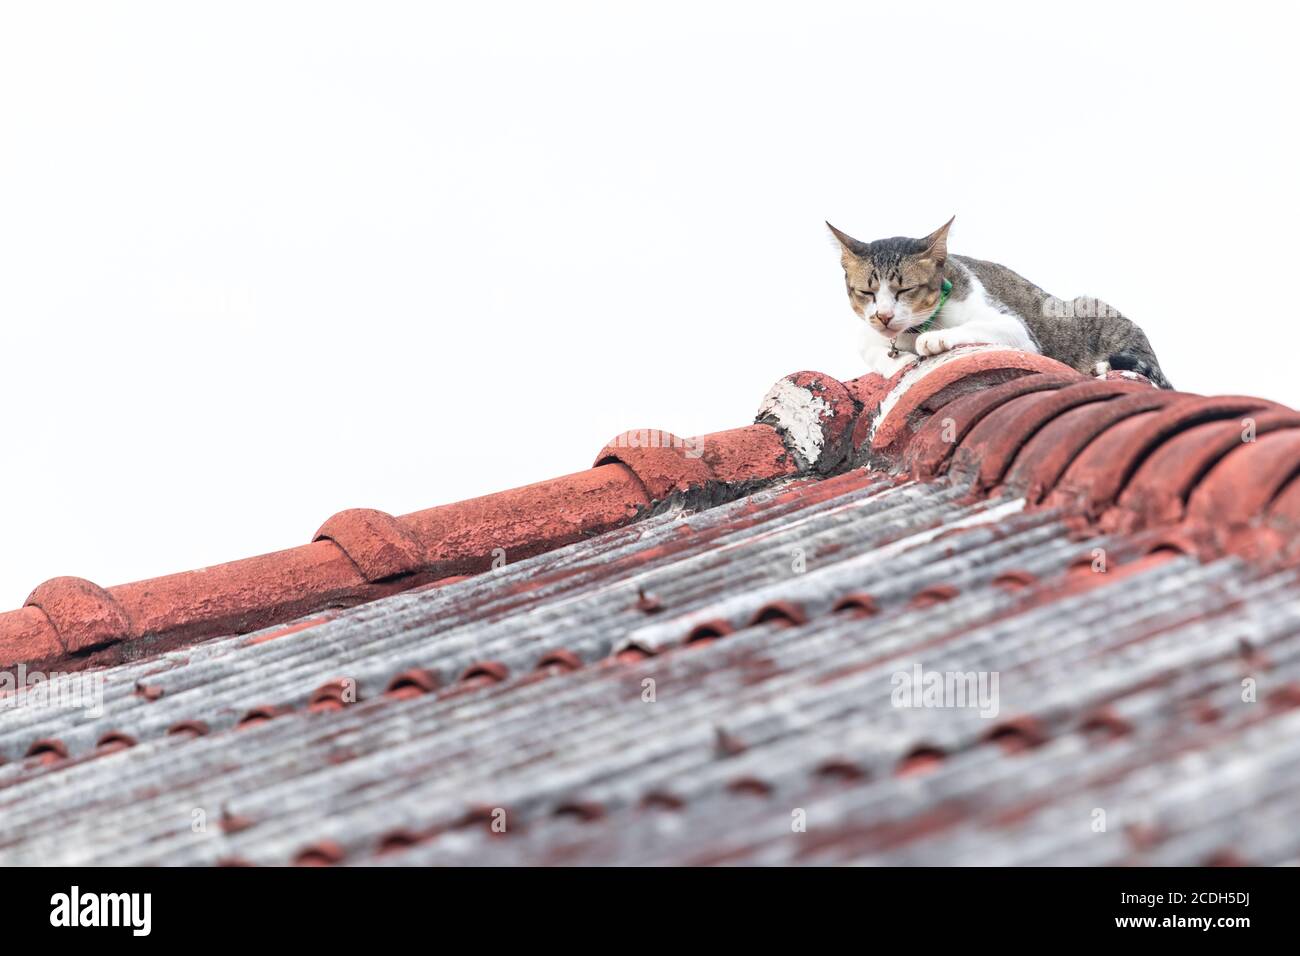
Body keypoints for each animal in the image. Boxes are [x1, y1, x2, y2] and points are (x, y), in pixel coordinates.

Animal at [826, 219, 1175, 390]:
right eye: (866, 293)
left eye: (905, 290)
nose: (884, 316)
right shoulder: (867, 331)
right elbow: (872, 347)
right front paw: (896, 362)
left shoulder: (1018, 330)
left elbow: (973, 326)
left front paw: (935, 338)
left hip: (1093, 310)